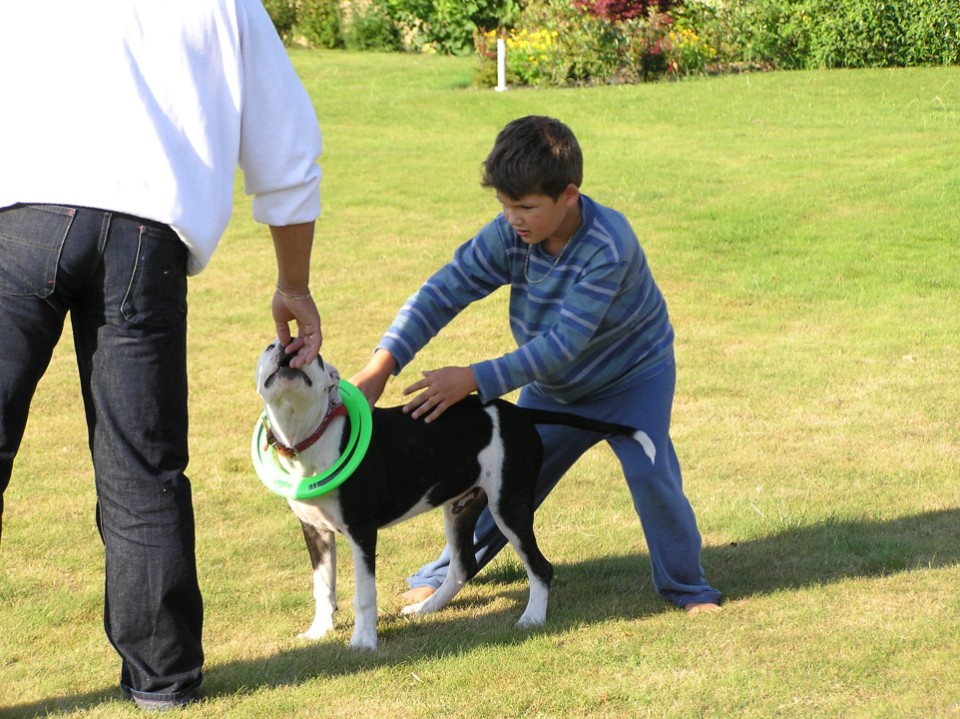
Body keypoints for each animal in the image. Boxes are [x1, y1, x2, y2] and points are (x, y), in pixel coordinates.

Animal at [255, 339, 656, 649]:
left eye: (317, 355)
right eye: (271, 346)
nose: (290, 345)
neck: (310, 435)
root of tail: (520, 414)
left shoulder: (362, 531)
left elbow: (364, 594)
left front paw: (364, 642)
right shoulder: (315, 532)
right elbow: (323, 587)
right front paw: (318, 632)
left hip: (509, 506)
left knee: (540, 566)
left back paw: (532, 618)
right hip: (460, 509)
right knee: (464, 565)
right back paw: (427, 609)